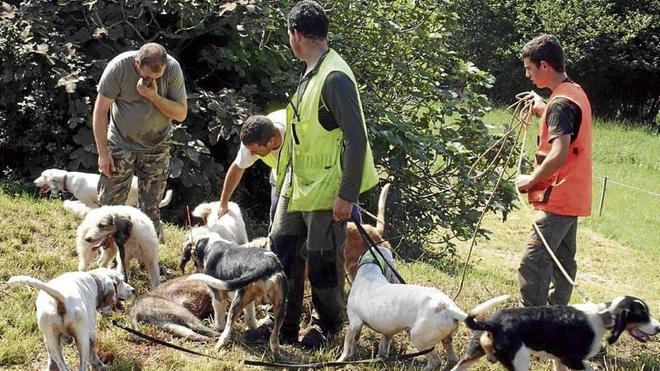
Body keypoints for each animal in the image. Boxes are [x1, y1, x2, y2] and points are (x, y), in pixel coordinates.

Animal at [338, 247, 508, 371]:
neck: (369, 270)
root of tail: (449, 307)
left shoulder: (354, 324)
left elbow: (347, 345)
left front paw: (341, 359)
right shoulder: (387, 331)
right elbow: (383, 345)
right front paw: (381, 358)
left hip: (419, 339)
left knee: (435, 362)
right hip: (445, 339)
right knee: (452, 360)